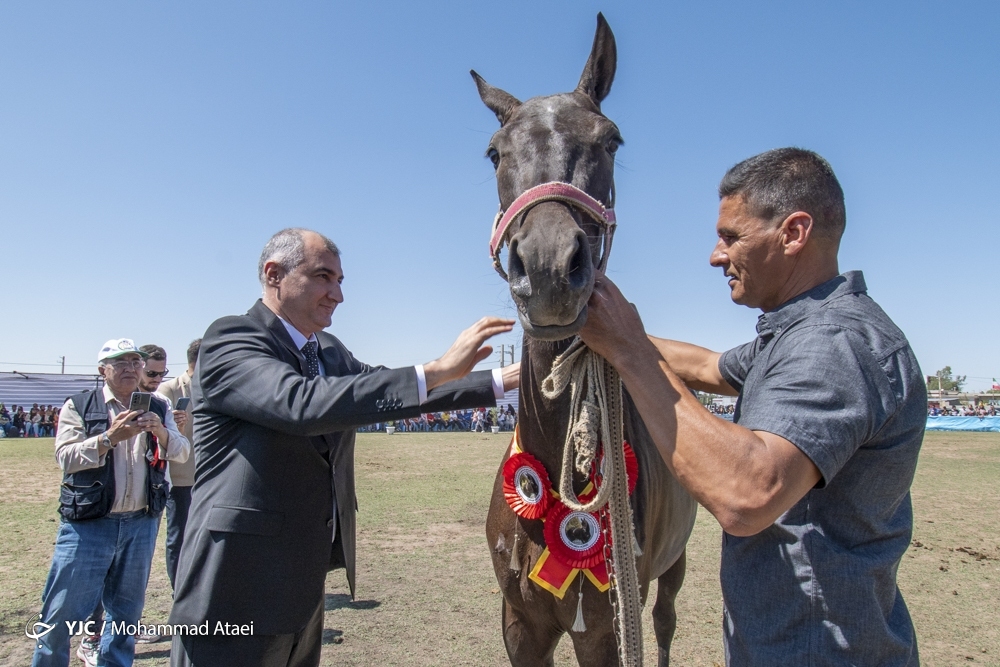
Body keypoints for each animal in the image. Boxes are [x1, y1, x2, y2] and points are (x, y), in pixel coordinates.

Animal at [474, 13, 696, 664]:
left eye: (611, 140)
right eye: (494, 152)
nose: (548, 268)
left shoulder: (601, 629)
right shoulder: (521, 623)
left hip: (673, 566)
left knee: (666, 621)